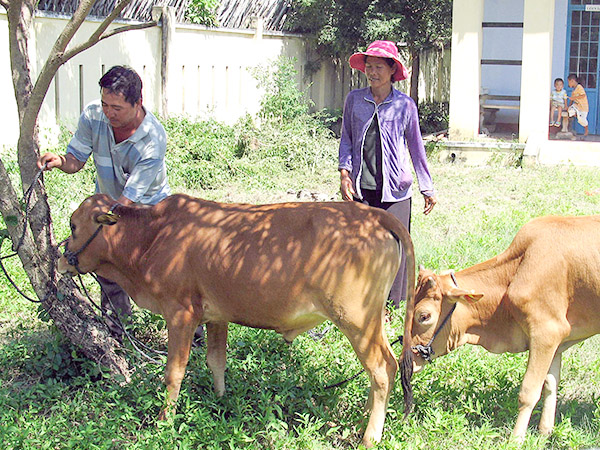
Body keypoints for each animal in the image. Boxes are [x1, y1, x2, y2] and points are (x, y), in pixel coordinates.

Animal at [58, 193, 414, 446]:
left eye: (74, 225)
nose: (60, 259)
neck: (151, 236)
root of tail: (371, 214)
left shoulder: (181, 314)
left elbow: (173, 373)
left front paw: (163, 421)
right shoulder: (216, 315)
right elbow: (216, 360)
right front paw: (221, 400)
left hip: (357, 320)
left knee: (382, 369)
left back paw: (370, 436)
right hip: (372, 322)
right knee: (384, 366)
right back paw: (367, 414)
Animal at [400, 214, 600, 440]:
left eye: (424, 316)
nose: (405, 361)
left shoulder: (546, 333)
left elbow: (529, 391)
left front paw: (516, 439)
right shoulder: (556, 341)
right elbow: (550, 384)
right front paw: (544, 432)